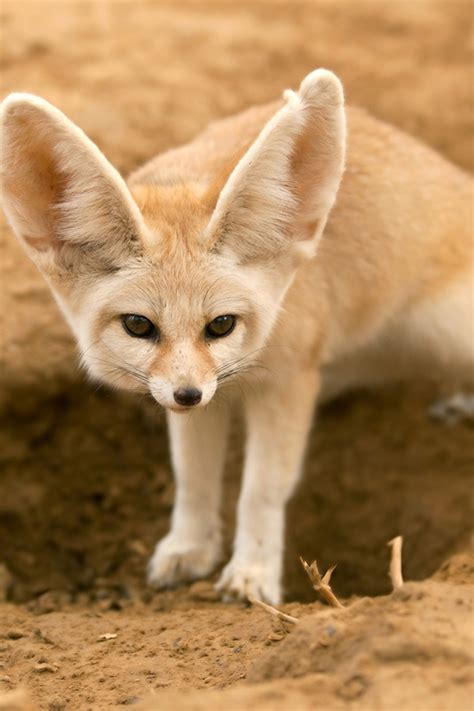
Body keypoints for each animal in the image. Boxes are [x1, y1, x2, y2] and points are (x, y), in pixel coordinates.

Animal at [1, 70, 472, 604]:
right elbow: (193, 477)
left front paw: (252, 573)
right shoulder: (198, 394)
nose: (188, 394)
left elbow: (261, 490)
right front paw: (190, 547)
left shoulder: (287, 381)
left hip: (450, 332)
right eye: (138, 325)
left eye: (221, 324)